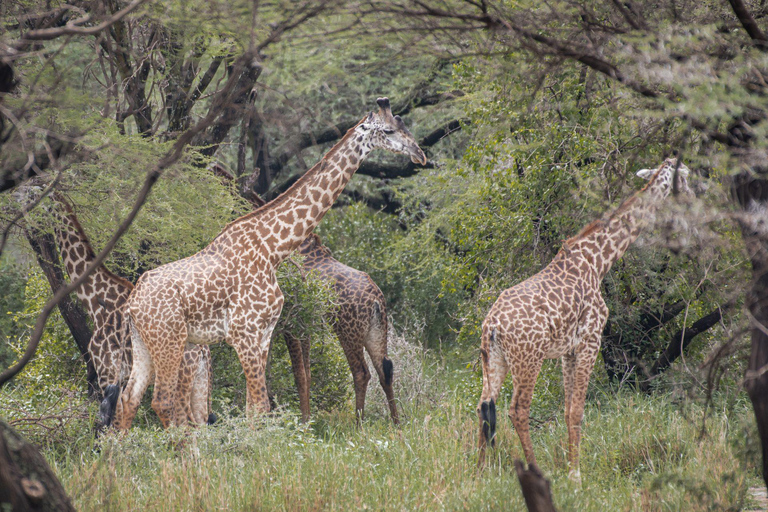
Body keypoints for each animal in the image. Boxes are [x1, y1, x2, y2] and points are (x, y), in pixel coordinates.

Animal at [45, 194, 214, 426]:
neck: (96, 302)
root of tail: (203, 351)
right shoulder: (119, 376)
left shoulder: (106, 370)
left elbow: (110, 424)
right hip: (200, 380)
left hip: (179, 377)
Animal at [113, 97, 426, 428]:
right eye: (389, 130)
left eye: (405, 126)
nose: (419, 155)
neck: (273, 247)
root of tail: (132, 304)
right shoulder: (244, 332)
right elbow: (264, 404)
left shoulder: (264, 334)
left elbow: (255, 407)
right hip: (170, 342)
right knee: (162, 401)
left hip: (144, 344)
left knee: (129, 398)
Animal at [476, 157, 692, 480]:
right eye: (687, 178)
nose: (693, 197)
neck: (598, 261)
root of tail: (492, 324)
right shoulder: (591, 340)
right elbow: (578, 410)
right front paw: (575, 475)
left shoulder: (568, 350)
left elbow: (567, 410)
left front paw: (571, 466)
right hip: (528, 359)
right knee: (517, 409)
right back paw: (534, 468)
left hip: (494, 359)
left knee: (483, 406)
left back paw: (478, 471)